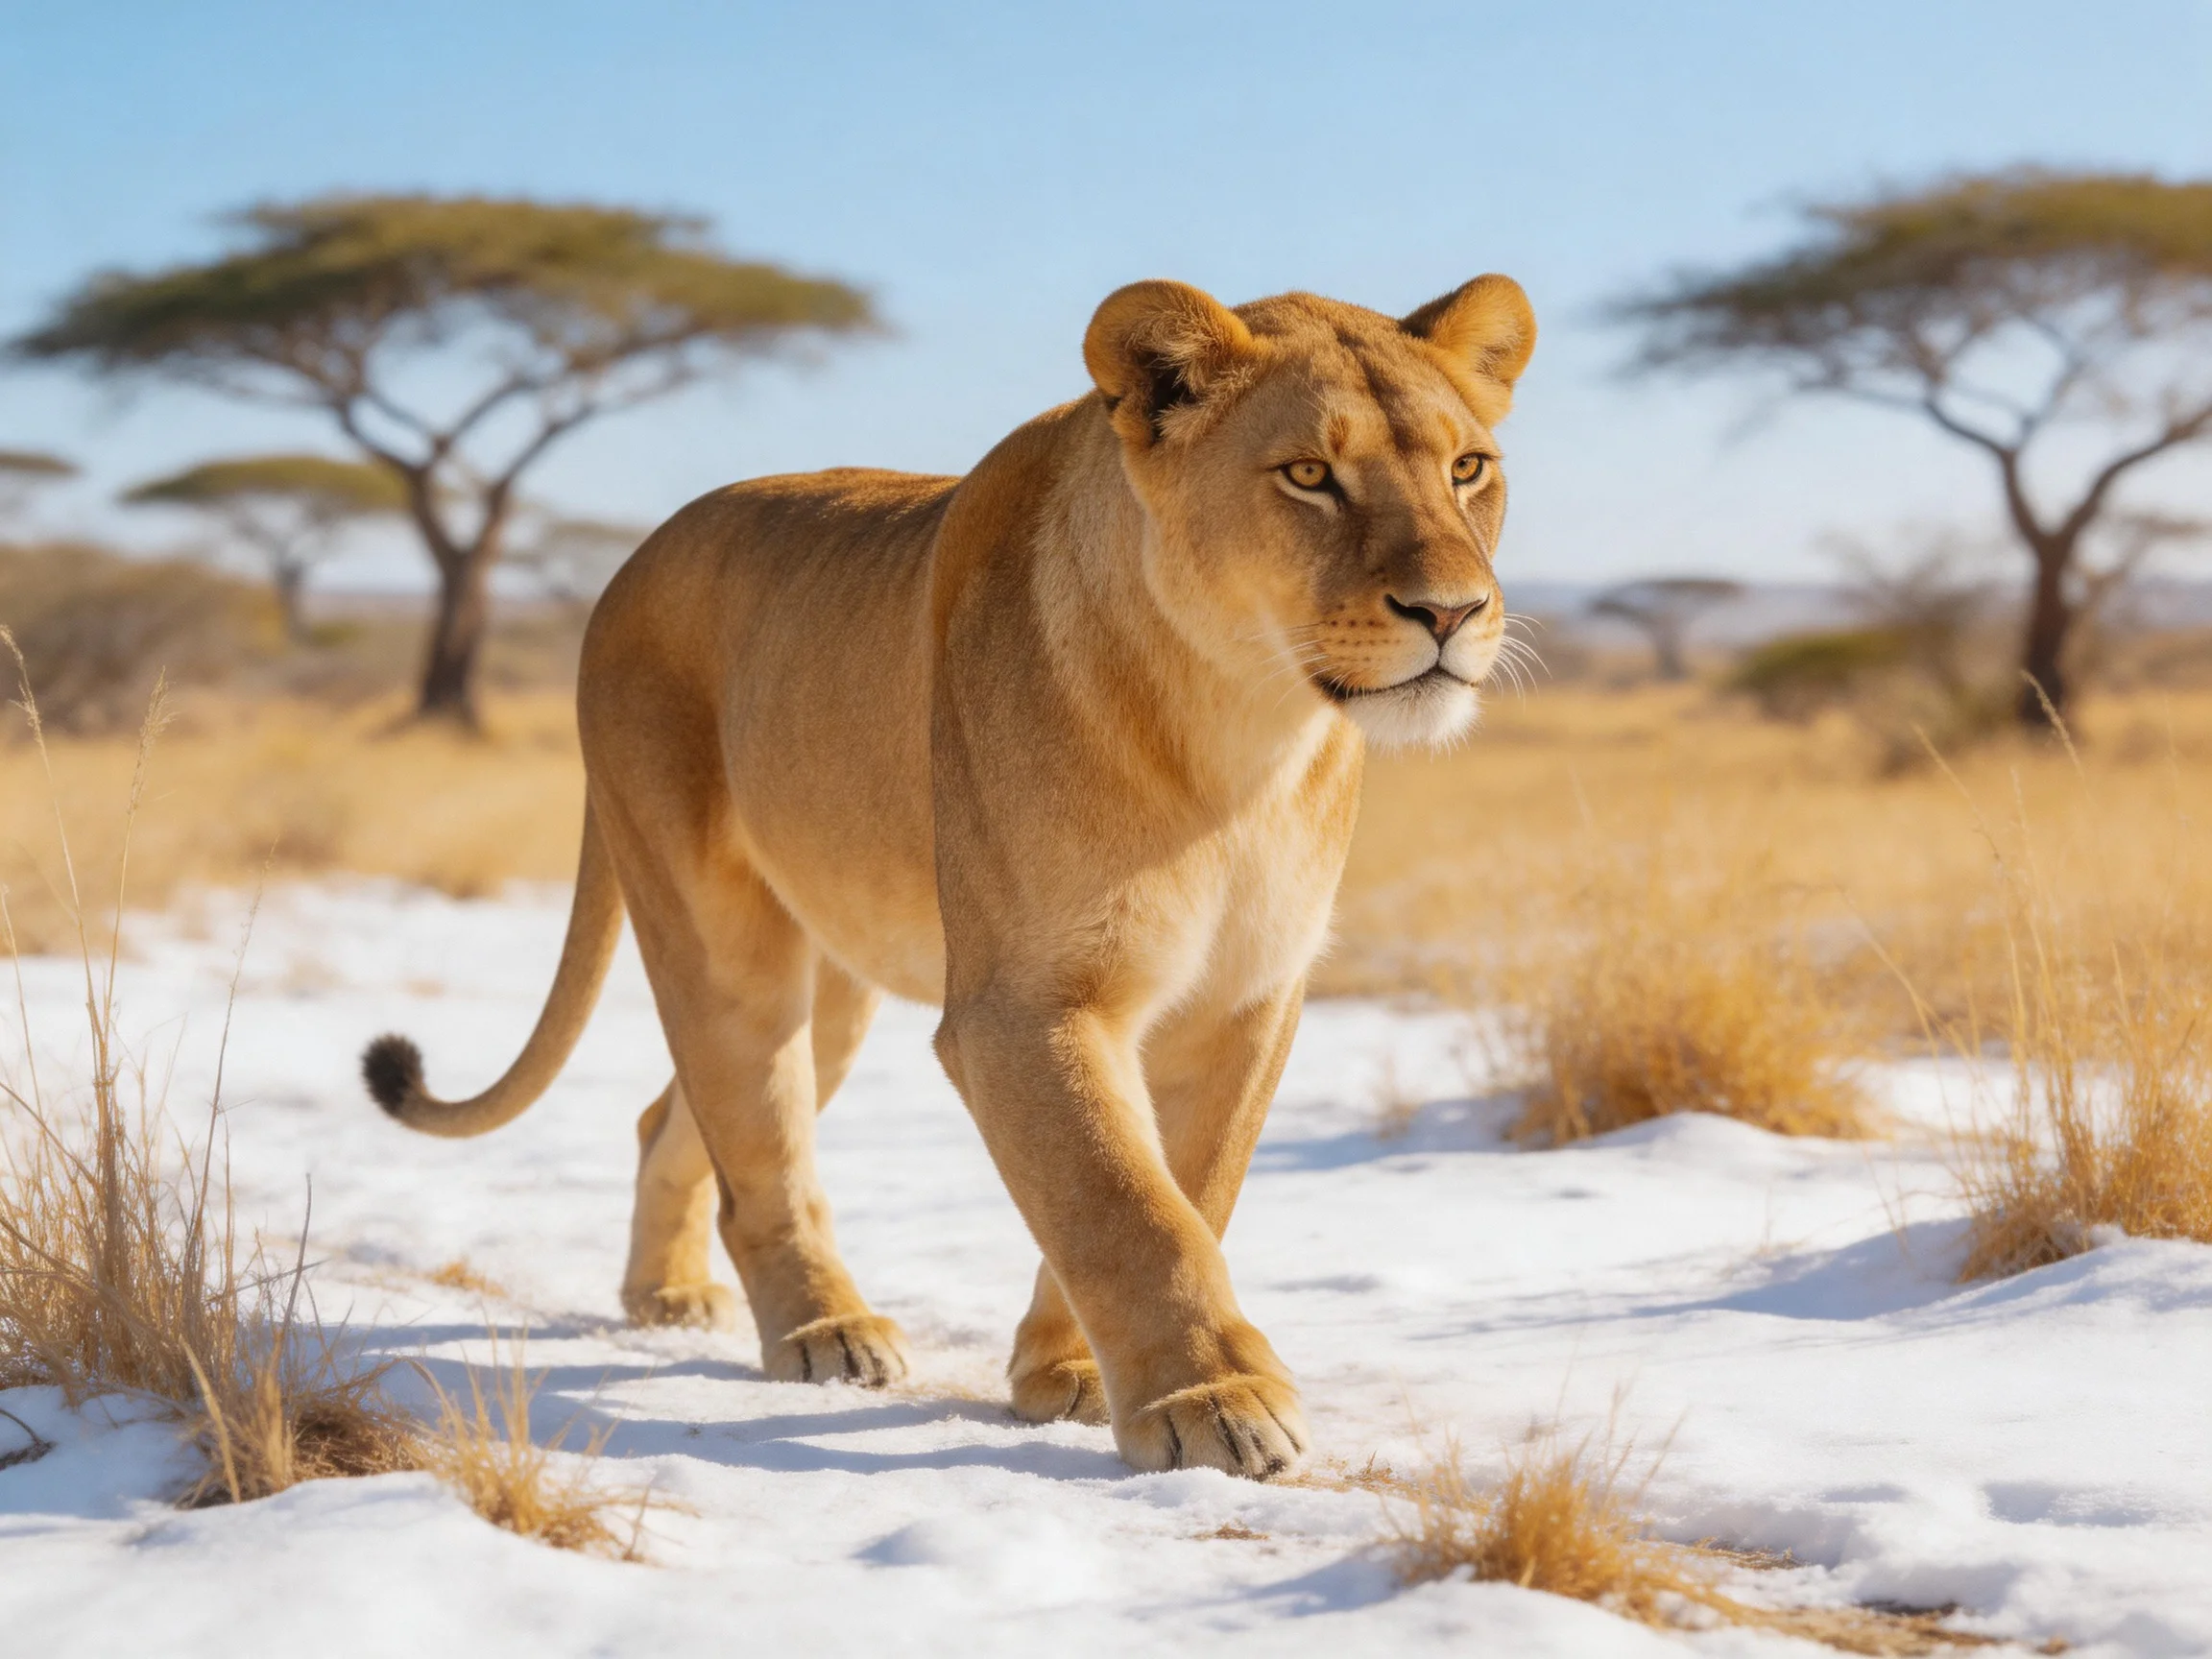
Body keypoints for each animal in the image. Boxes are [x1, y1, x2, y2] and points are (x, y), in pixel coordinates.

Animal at [362, 274, 1536, 1480]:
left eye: (1467, 469)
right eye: (1308, 475)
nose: (1451, 613)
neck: (1238, 731)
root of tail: (630, 565)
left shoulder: (1246, 1000)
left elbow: (1185, 1188)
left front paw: (1069, 1373)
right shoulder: (1020, 1004)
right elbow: (1125, 1204)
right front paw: (1213, 1401)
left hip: (833, 985)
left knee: (673, 1121)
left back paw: (667, 1296)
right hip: (719, 932)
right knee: (760, 1146)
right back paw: (827, 1331)